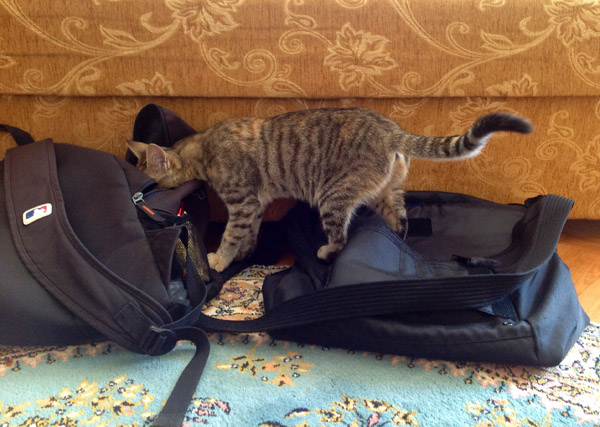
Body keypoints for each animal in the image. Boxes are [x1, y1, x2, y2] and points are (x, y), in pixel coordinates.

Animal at [127, 107, 532, 272]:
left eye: (151, 183)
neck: (205, 147)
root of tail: (392, 129)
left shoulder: (243, 202)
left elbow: (230, 234)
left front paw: (220, 258)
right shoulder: (255, 204)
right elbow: (249, 234)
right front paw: (244, 252)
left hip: (332, 196)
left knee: (340, 236)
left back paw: (326, 251)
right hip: (384, 193)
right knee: (400, 220)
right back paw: (396, 241)